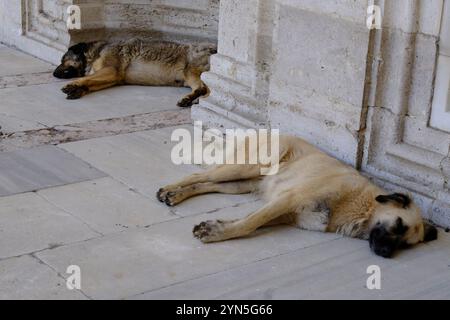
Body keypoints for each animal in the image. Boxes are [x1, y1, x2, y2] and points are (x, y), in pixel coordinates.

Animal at [156, 134, 438, 258]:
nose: (386, 254)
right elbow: (249, 224)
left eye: (406, 245)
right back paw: (169, 188)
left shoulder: (285, 213)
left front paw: (217, 227)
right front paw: (217, 233)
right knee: (199, 175)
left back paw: (176, 195)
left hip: (240, 184)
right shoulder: (287, 200)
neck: (362, 204)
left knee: (207, 183)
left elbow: (247, 220)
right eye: (398, 225)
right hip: (245, 167)